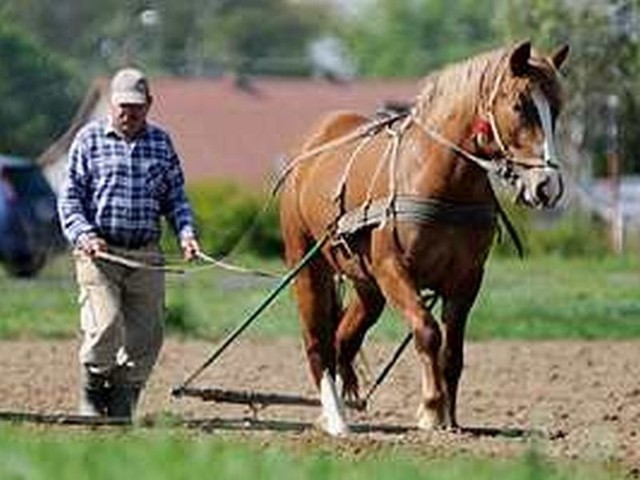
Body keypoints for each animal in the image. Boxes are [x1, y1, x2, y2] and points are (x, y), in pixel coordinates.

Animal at [280, 41, 568, 436]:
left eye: (556, 109)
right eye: (520, 106)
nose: (547, 187)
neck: (441, 180)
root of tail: (311, 145)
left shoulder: (466, 280)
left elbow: (453, 352)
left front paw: (450, 418)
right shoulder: (393, 271)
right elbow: (428, 331)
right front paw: (431, 409)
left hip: (367, 288)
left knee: (343, 339)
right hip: (308, 266)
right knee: (317, 342)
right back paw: (336, 420)